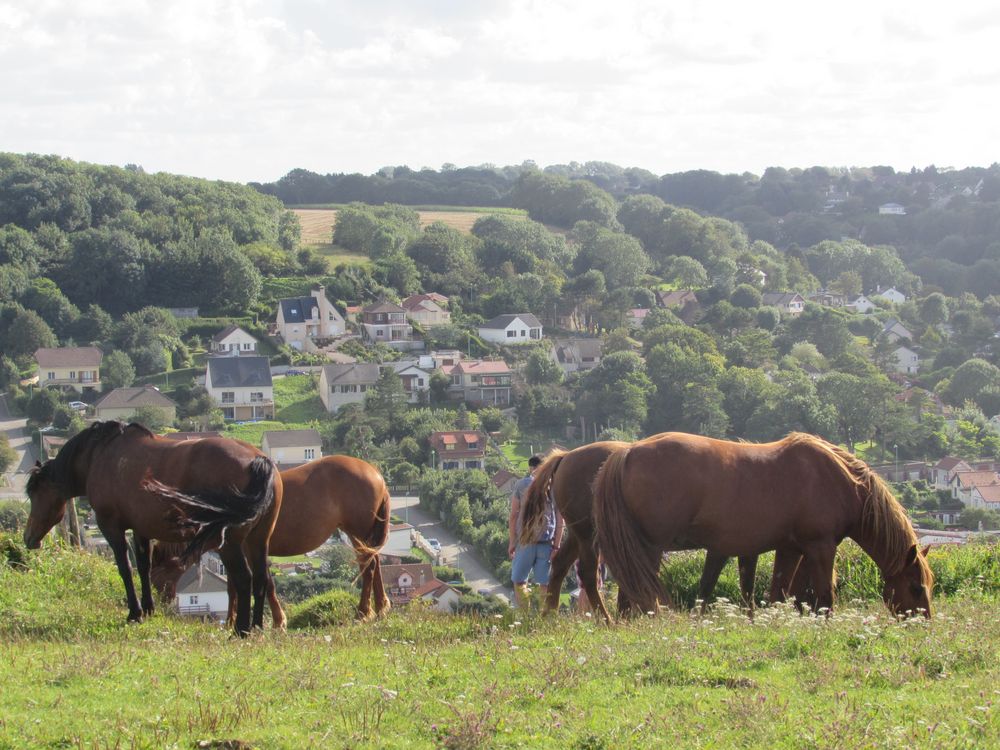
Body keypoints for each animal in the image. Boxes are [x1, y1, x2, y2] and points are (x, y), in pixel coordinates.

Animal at [24, 424, 282, 636]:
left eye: (35, 492)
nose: (28, 538)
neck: (101, 455)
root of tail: (258, 459)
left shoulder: (112, 528)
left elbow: (125, 569)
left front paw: (135, 613)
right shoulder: (141, 530)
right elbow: (143, 568)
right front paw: (148, 609)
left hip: (230, 544)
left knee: (244, 578)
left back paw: (241, 631)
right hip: (258, 540)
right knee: (261, 578)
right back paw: (257, 627)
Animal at [154, 458, 392, 628]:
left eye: (163, 570)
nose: (162, 603)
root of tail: (376, 474)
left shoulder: (249, 549)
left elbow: (263, 582)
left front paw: (278, 620)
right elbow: (233, 587)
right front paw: (230, 621)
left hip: (358, 532)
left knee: (369, 567)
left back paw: (363, 612)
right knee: (374, 563)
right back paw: (381, 607)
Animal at [520, 440, 816, 624]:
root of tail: (565, 457)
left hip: (579, 534)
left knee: (560, 566)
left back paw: (552, 615)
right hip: (588, 536)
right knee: (589, 574)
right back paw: (607, 619)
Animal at [588, 432, 932, 620]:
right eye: (916, 587)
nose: (924, 623)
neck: (842, 481)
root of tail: (627, 452)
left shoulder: (791, 549)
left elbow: (781, 593)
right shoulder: (820, 547)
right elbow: (824, 594)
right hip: (649, 547)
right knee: (632, 589)